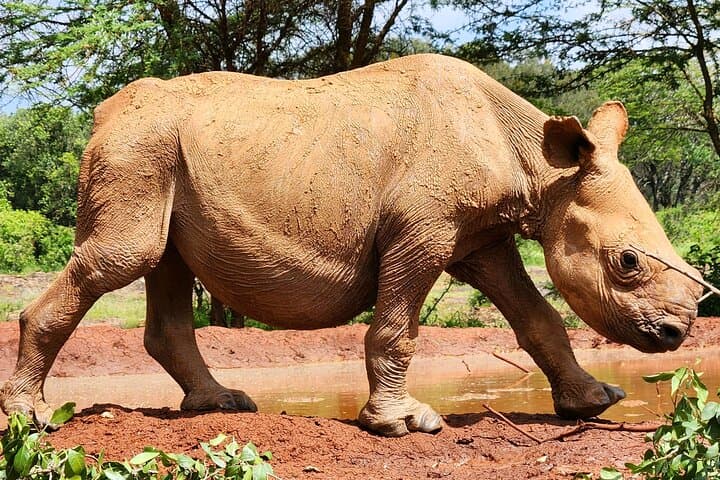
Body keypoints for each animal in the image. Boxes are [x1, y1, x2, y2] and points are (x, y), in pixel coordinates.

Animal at [0, 54, 703, 437]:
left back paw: (222, 405)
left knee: (163, 265)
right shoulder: (424, 231)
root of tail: (101, 113)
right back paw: (32, 419)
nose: (676, 334)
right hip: (139, 146)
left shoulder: (482, 239)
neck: (539, 167)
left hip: (160, 148)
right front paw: (405, 423)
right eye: (627, 263)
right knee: (127, 256)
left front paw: (594, 401)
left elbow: (538, 318)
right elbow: (397, 328)